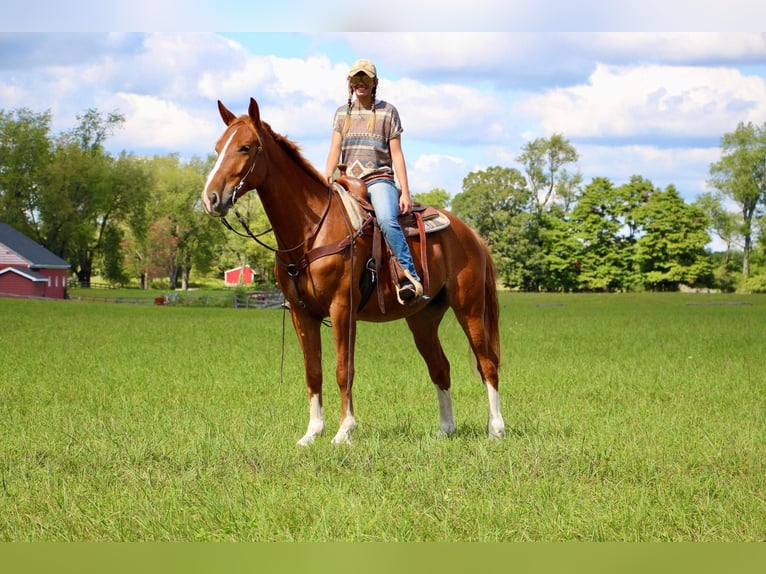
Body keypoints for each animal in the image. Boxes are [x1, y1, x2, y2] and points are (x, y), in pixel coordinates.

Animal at [201, 98, 508, 446]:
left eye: (245, 147)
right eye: (217, 147)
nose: (210, 198)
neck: (311, 230)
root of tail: (471, 234)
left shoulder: (342, 308)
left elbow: (342, 369)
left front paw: (343, 431)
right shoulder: (301, 314)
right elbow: (313, 371)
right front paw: (312, 433)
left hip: (469, 308)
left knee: (487, 363)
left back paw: (496, 429)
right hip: (422, 318)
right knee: (440, 367)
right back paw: (446, 429)